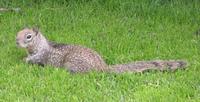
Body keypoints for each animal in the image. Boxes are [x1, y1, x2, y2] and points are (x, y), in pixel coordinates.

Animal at [16, 27, 188, 73]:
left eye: (28, 36)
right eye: (18, 32)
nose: (16, 41)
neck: (39, 45)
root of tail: (102, 67)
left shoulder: (41, 56)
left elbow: (33, 60)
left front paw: (23, 60)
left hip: (72, 64)